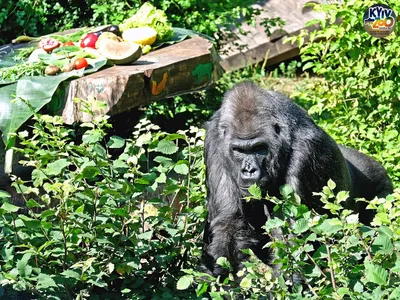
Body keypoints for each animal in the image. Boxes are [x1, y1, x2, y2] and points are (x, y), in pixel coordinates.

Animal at [203, 81, 394, 276]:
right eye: (238, 150)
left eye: (258, 148)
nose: (249, 170)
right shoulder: (214, 142)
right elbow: (230, 223)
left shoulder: (306, 152)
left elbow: (295, 238)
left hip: (382, 195)